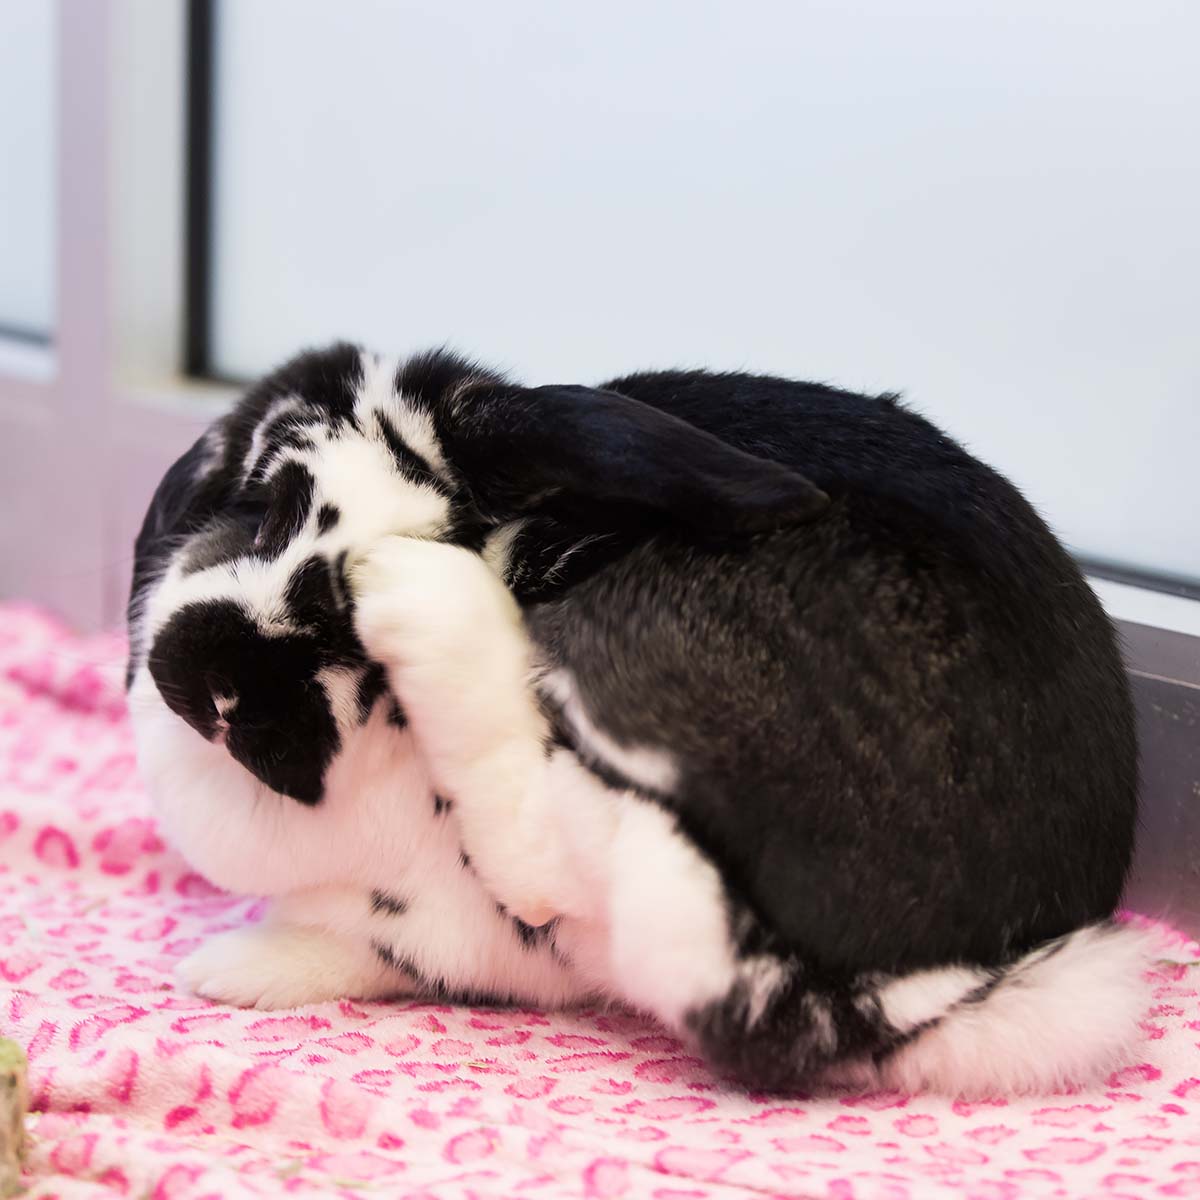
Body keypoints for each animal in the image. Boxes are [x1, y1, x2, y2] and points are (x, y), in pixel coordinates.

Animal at [127, 342, 1148, 1095]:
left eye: (358, 647)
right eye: (264, 507)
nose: (222, 695)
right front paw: (235, 970)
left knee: (554, 858)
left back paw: (425, 601)